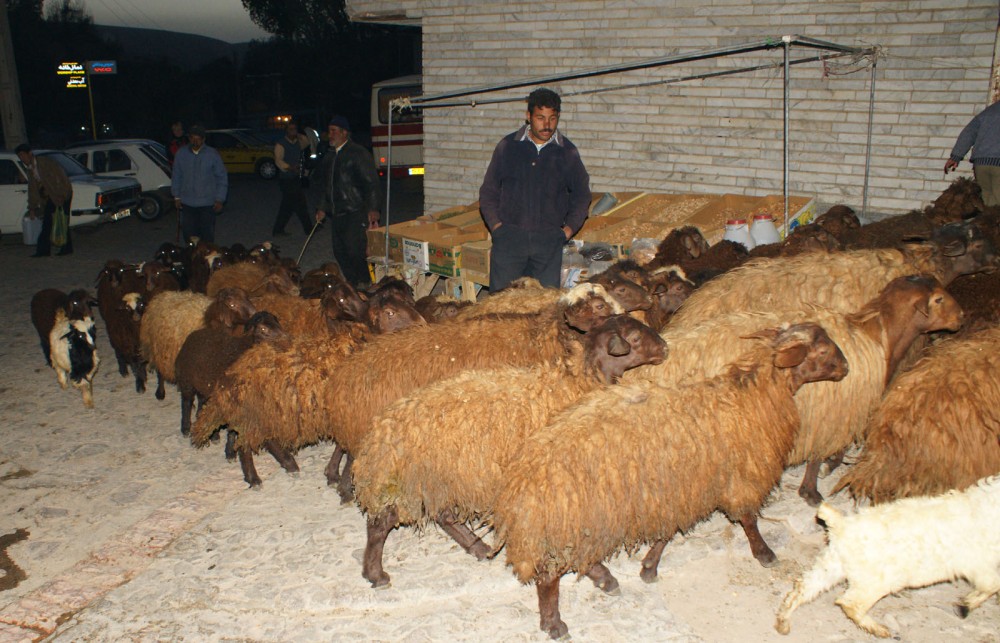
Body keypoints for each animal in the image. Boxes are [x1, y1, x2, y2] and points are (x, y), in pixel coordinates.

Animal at [356, 314, 668, 592]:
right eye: (635, 337)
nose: (665, 348)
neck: (576, 379)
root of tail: (384, 429)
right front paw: (601, 576)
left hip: (443, 478)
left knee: (443, 516)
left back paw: (477, 547)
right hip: (414, 480)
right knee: (381, 523)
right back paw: (376, 574)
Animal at [488, 322, 848, 640]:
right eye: (821, 350)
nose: (845, 367)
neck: (753, 391)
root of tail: (526, 481)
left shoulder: (678, 491)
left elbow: (666, 534)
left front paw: (649, 566)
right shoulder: (740, 477)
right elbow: (748, 519)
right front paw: (765, 553)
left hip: (583, 525)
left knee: (576, 561)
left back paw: (605, 580)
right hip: (575, 523)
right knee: (549, 576)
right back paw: (554, 623)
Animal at [772, 476, 1000, 636]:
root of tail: (842, 525)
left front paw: (965, 605)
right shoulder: (979, 564)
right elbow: (993, 585)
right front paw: (965, 606)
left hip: (831, 566)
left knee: (802, 590)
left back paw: (783, 623)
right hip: (875, 582)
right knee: (849, 602)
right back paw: (879, 629)